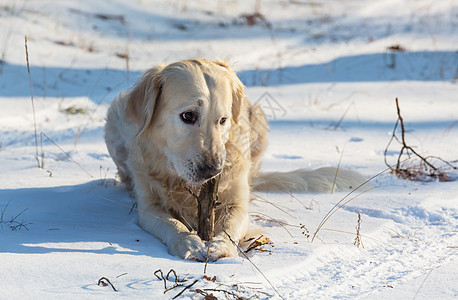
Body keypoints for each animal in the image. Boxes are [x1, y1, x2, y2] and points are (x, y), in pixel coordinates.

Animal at [104, 58, 364, 260]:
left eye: (223, 120)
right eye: (187, 116)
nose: (212, 170)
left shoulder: (237, 201)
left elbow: (230, 223)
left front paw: (222, 246)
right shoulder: (148, 204)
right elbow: (171, 223)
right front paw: (188, 242)